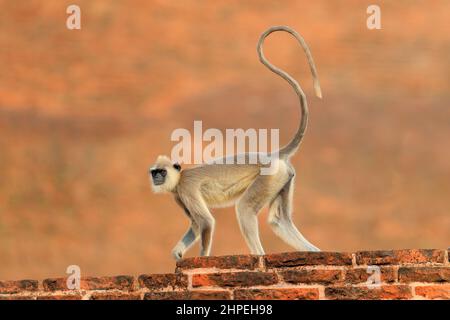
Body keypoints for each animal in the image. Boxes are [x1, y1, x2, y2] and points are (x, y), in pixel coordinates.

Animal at [149, 25, 322, 260]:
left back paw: (259, 254)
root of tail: (273, 156)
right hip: (283, 178)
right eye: (154, 172)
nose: (157, 178)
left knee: (244, 209)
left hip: (268, 177)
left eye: (162, 172)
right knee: (278, 221)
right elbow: (194, 225)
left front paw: (203, 258)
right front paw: (177, 253)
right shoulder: (178, 196)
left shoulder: (185, 189)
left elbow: (205, 222)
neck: (180, 177)